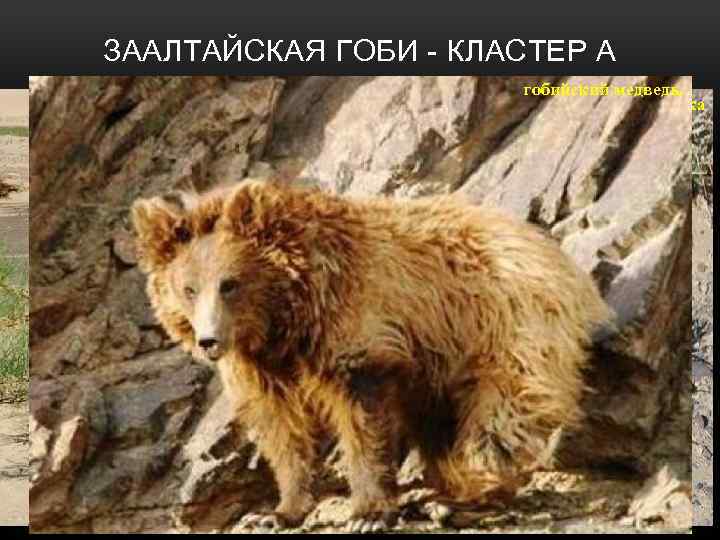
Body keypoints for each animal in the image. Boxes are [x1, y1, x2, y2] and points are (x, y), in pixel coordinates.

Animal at [131, 178, 613, 532]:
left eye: (230, 283)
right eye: (188, 288)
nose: (209, 341)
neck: (288, 317)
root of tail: (549, 248)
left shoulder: (356, 324)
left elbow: (363, 419)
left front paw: (367, 510)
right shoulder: (261, 365)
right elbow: (280, 428)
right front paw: (276, 511)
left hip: (503, 322)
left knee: (503, 410)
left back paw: (469, 495)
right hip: (441, 363)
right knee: (439, 423)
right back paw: (446, 493)